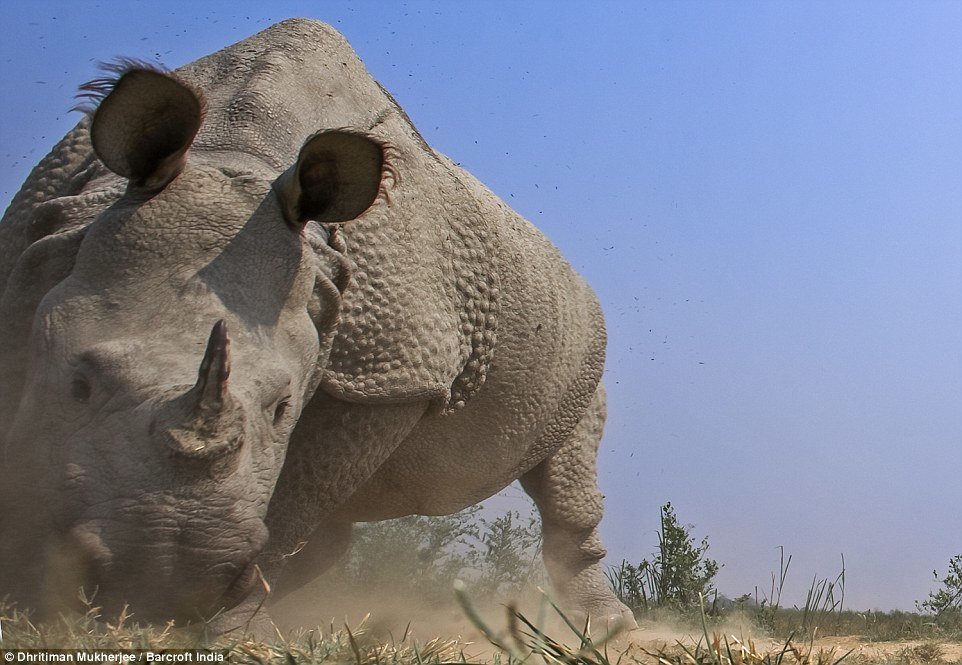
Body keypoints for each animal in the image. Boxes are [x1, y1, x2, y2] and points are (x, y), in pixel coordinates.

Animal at [0, 18, 634, 630]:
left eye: (282, 406)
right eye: (78, 386)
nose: (157, 576)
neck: (231, 154)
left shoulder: (390, 376)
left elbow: (295, 502)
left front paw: (224, 634)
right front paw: (26, 604)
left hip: (582, 357)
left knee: (567, 476)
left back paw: (603, 629)